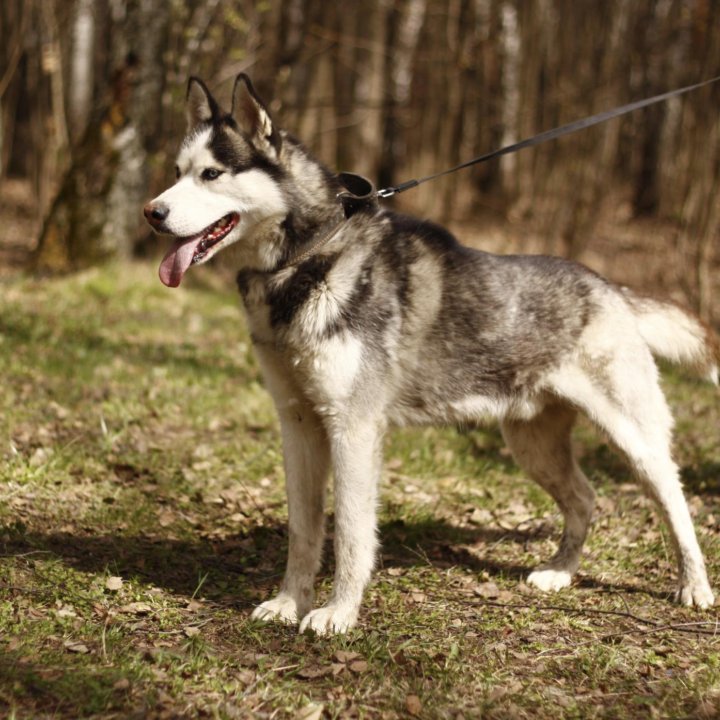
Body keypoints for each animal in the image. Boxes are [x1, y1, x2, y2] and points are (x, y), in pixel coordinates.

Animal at [145, 74, 716, 636]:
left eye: (212, 174)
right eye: (177, 173)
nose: (152, 212)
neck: (307, 260)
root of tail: (610, 288)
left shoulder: (352, 430)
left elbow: (350, 533)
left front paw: (338, 613)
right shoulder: (299, 425)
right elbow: (303, 532)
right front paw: (289, 603)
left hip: (633, 440)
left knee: (676, 502)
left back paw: (694, 586)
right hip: (531, 446)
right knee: (585, 497)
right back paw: (560, 572)